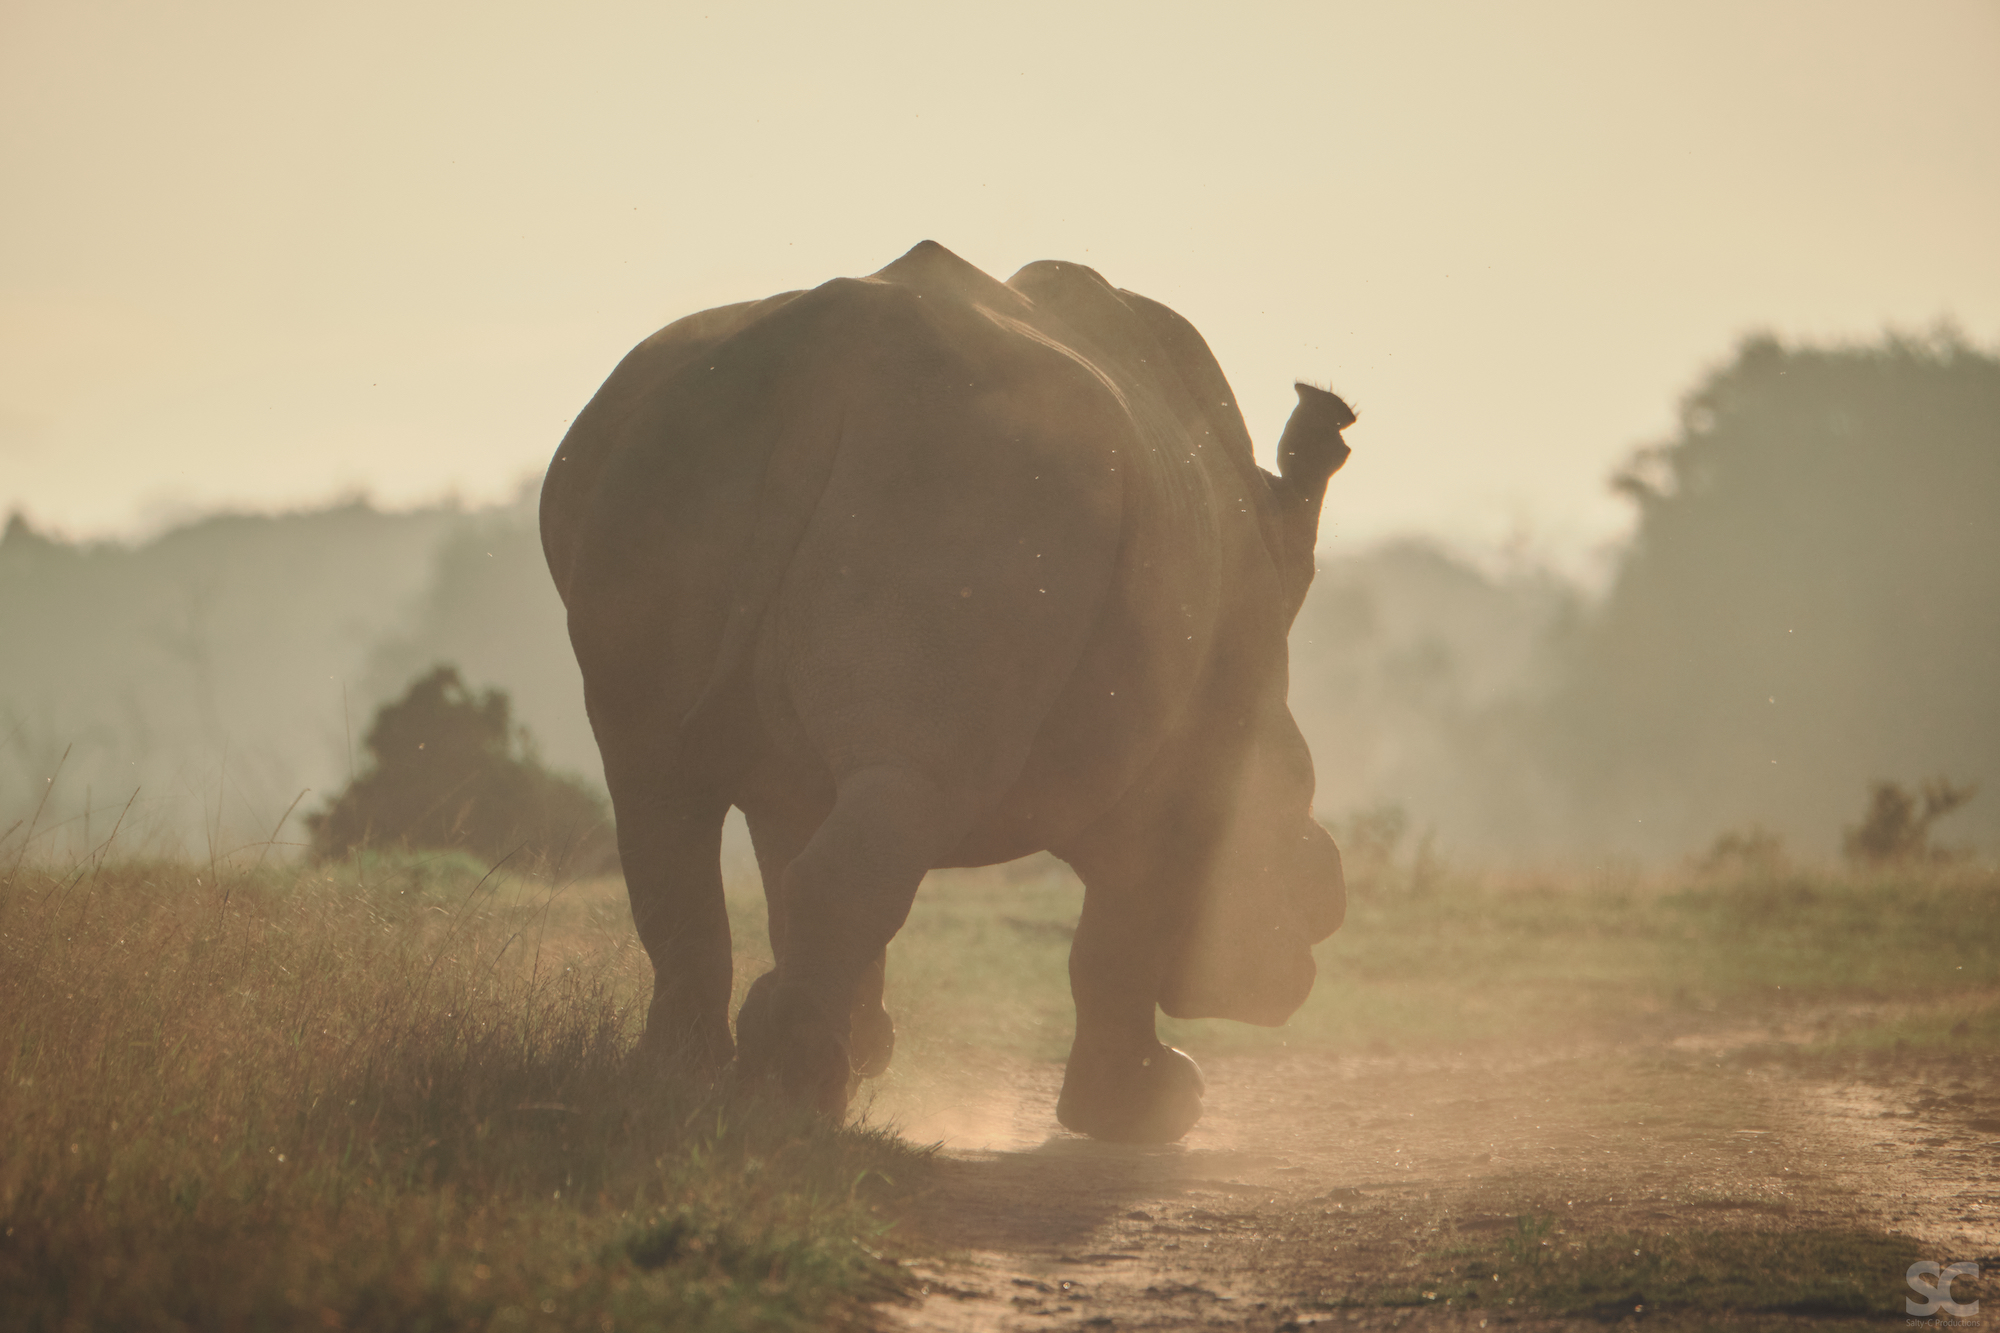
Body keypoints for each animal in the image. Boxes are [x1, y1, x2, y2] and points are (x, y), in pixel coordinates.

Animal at [544, 236, 1360, 1128]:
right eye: (1299, 819)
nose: (1327, 920)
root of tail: (826, 356)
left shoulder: (793, 763)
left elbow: (788, 856)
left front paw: (860, 1043)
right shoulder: (1194, 752)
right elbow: (1121, 929)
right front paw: (1148, 1110)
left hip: (672, 456)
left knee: (656, 788)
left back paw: (685, 1079)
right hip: (985, 482)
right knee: (906, 788)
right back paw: (796, 1096)